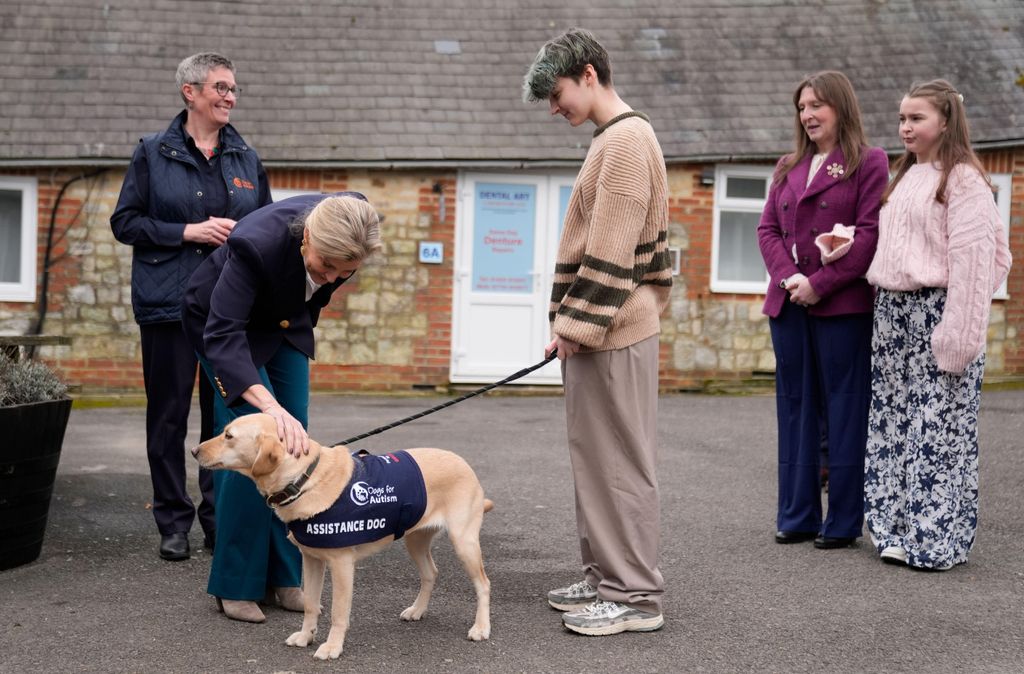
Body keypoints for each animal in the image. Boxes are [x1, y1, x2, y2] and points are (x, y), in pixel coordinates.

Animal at [195, 411, 495, 659]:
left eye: (229, 436)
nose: (194, 450)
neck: (303, 479)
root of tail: (463, 462)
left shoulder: (341, 565)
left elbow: (338, 613)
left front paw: (331, 647)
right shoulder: (311, 559)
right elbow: (311, 604)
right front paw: (306, 636)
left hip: (464, 542)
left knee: (483, 584)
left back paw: (481, 627)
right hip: (415, 540)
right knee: (431, 573)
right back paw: (417, 610)